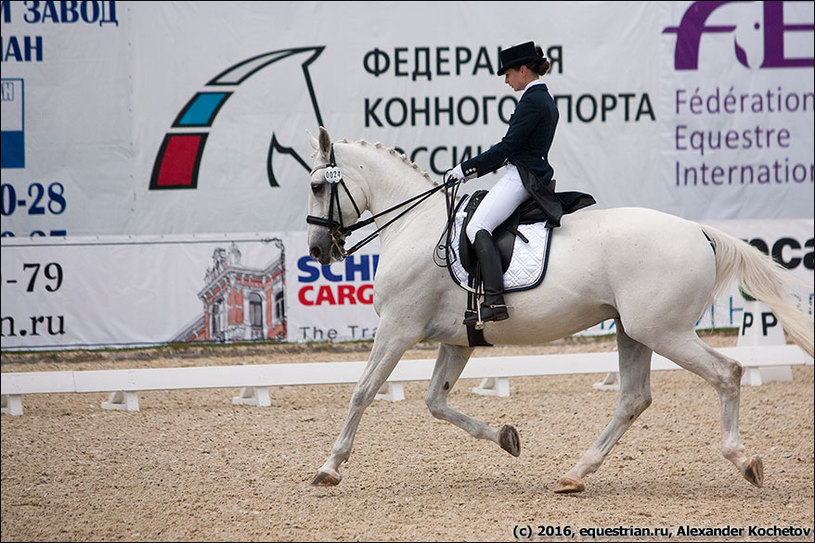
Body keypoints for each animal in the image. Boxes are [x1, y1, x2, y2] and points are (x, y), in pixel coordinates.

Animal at [302, 127, 812, 492]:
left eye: (316, 186)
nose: (318, 251)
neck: (417, 226)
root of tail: (699, 231)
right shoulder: (457, 340)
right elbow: (435, 402)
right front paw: (506, 437)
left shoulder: (398, 328)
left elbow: (363, 392)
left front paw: (330, 467)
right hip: (634, 331)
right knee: (633, 398)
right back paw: (576, 474)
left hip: (664, 331)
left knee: (726, 373)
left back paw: (744, 461)